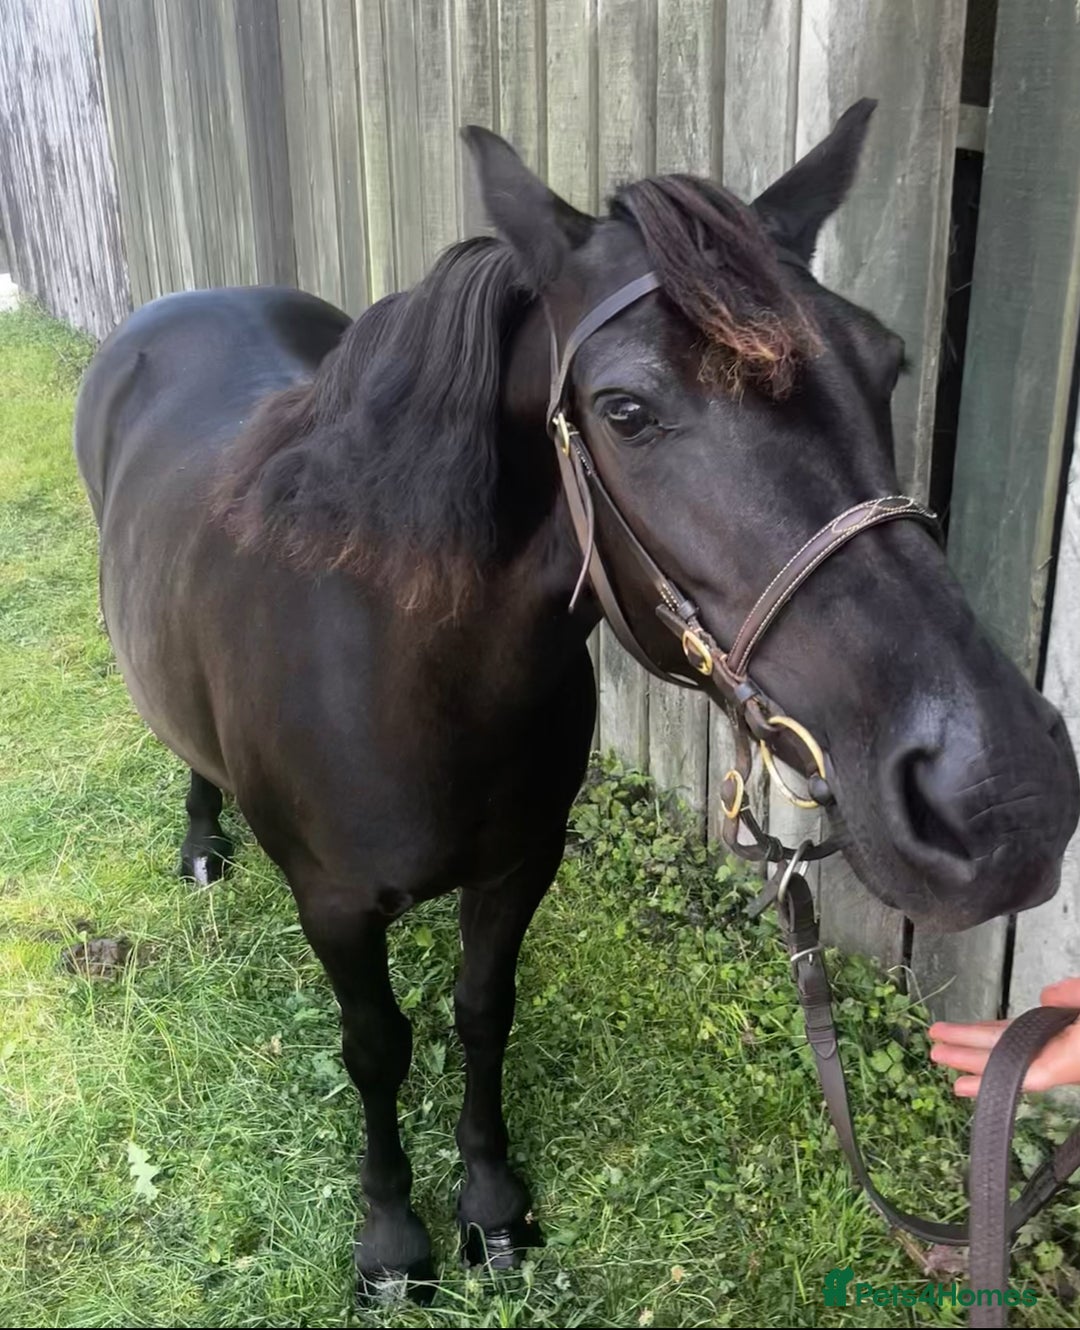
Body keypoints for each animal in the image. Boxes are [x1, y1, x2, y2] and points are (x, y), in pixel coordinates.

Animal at [73, 99, 1079, 1299]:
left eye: (885, 364)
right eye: (626, 409)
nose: (1004, 794)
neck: (401, 671)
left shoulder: (520, 866)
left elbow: (480, 1013)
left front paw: (491, 1205)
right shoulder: (332, 906)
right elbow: (376, 1048)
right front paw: (391, 1236)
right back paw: (200, 844)